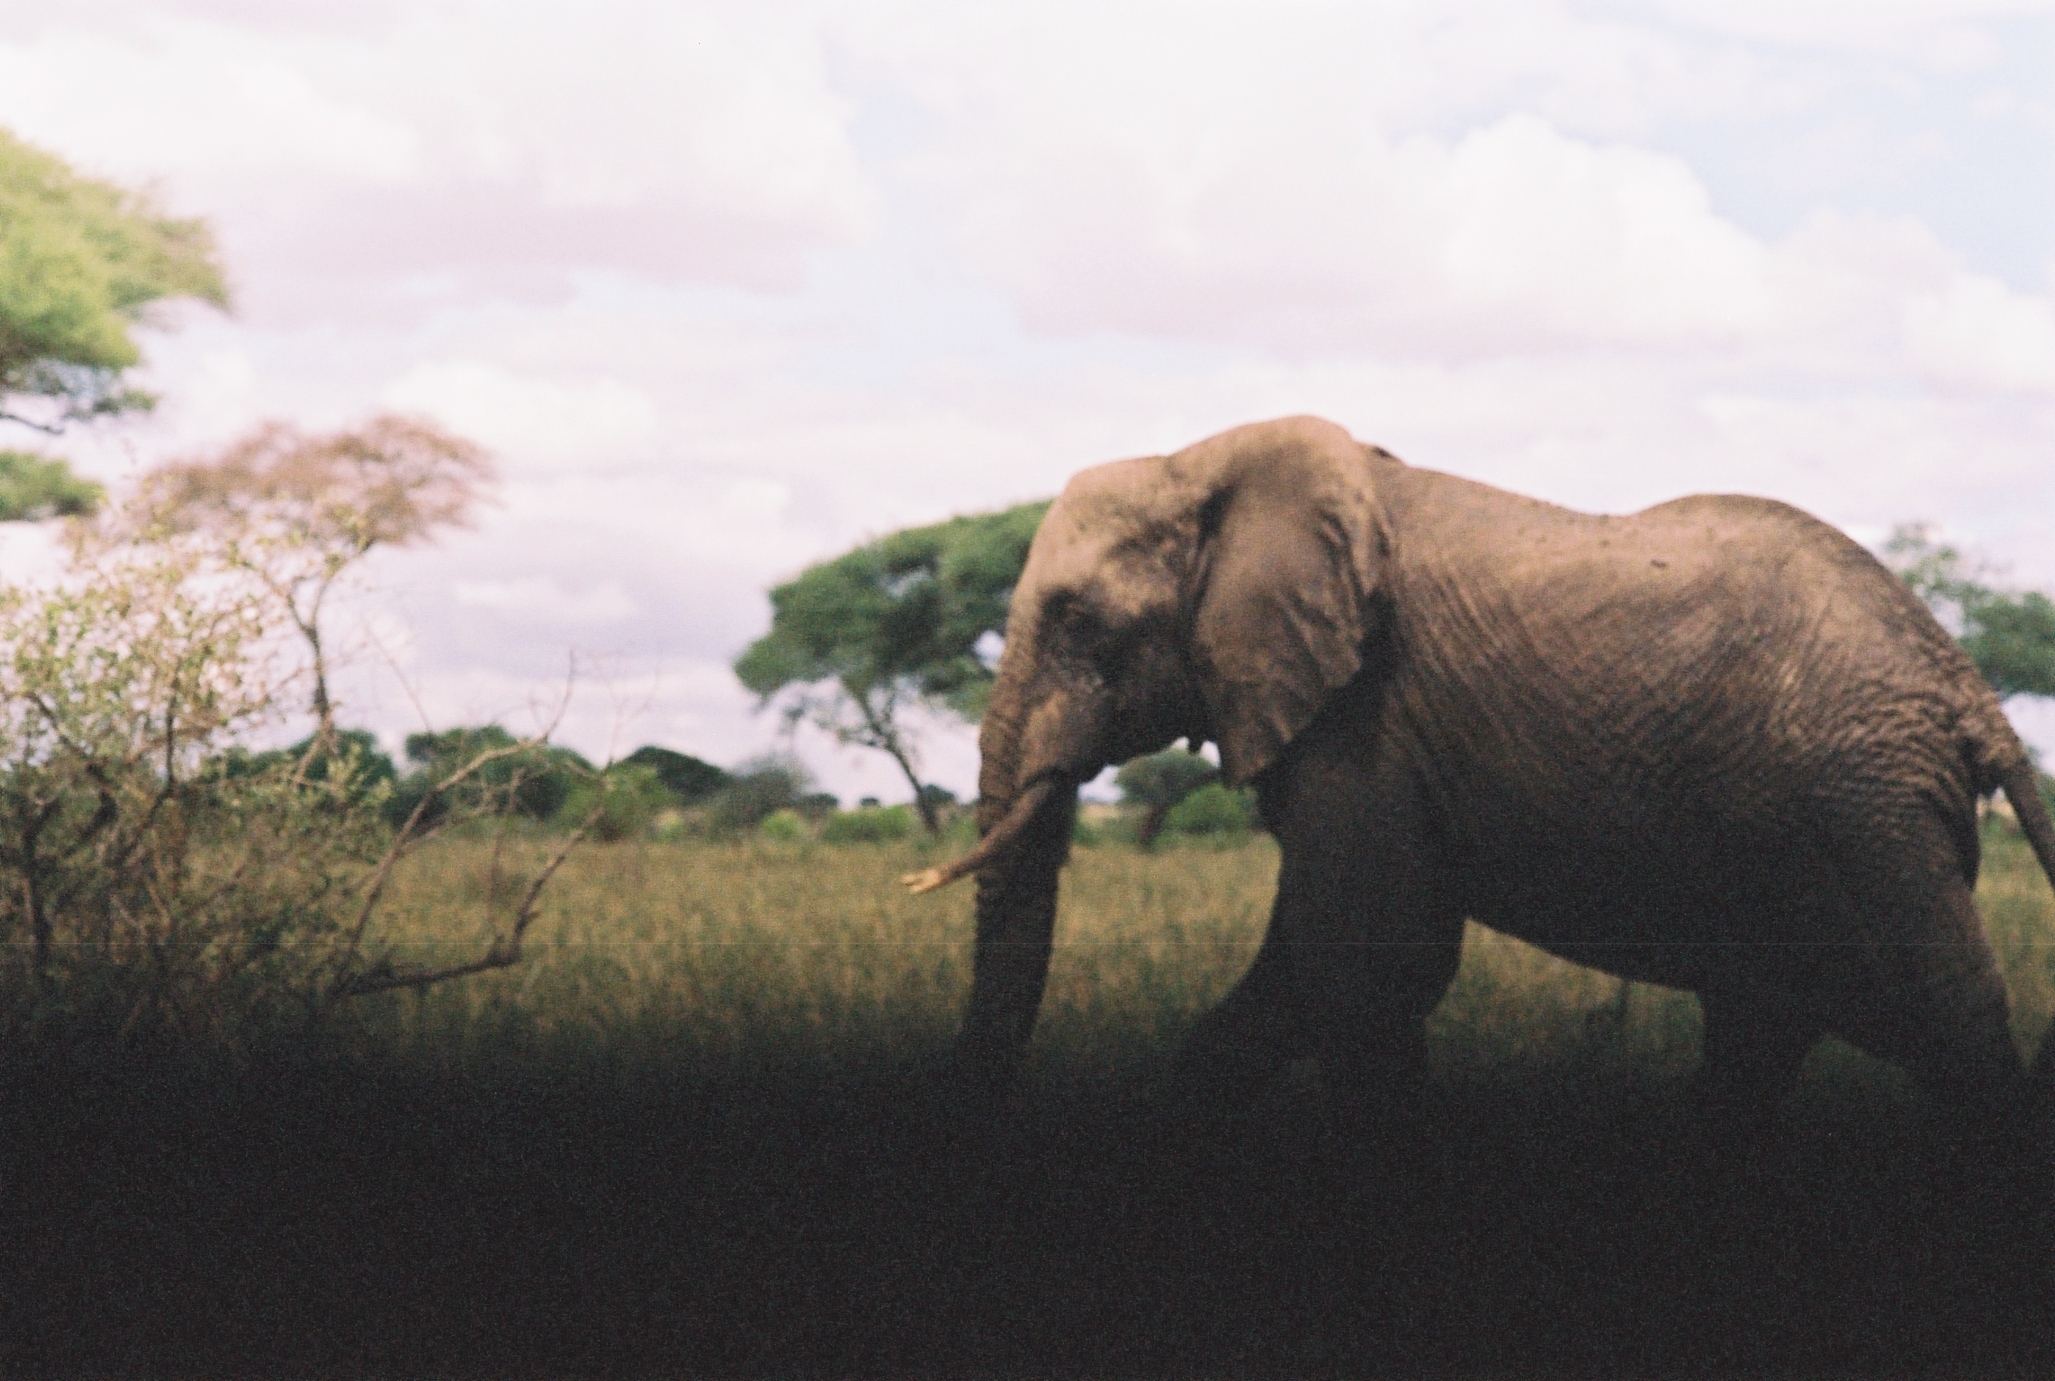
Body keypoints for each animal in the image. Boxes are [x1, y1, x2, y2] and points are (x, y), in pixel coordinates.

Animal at [902, 415, 2055, 1185]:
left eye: (1078, 618)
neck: (1209, 461)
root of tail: (1964, 686)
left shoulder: (1365, 715)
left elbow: (1369, 965)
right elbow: (1314, 976)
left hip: (1862, 809)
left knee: (1943, 1024)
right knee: (1762, 1032)